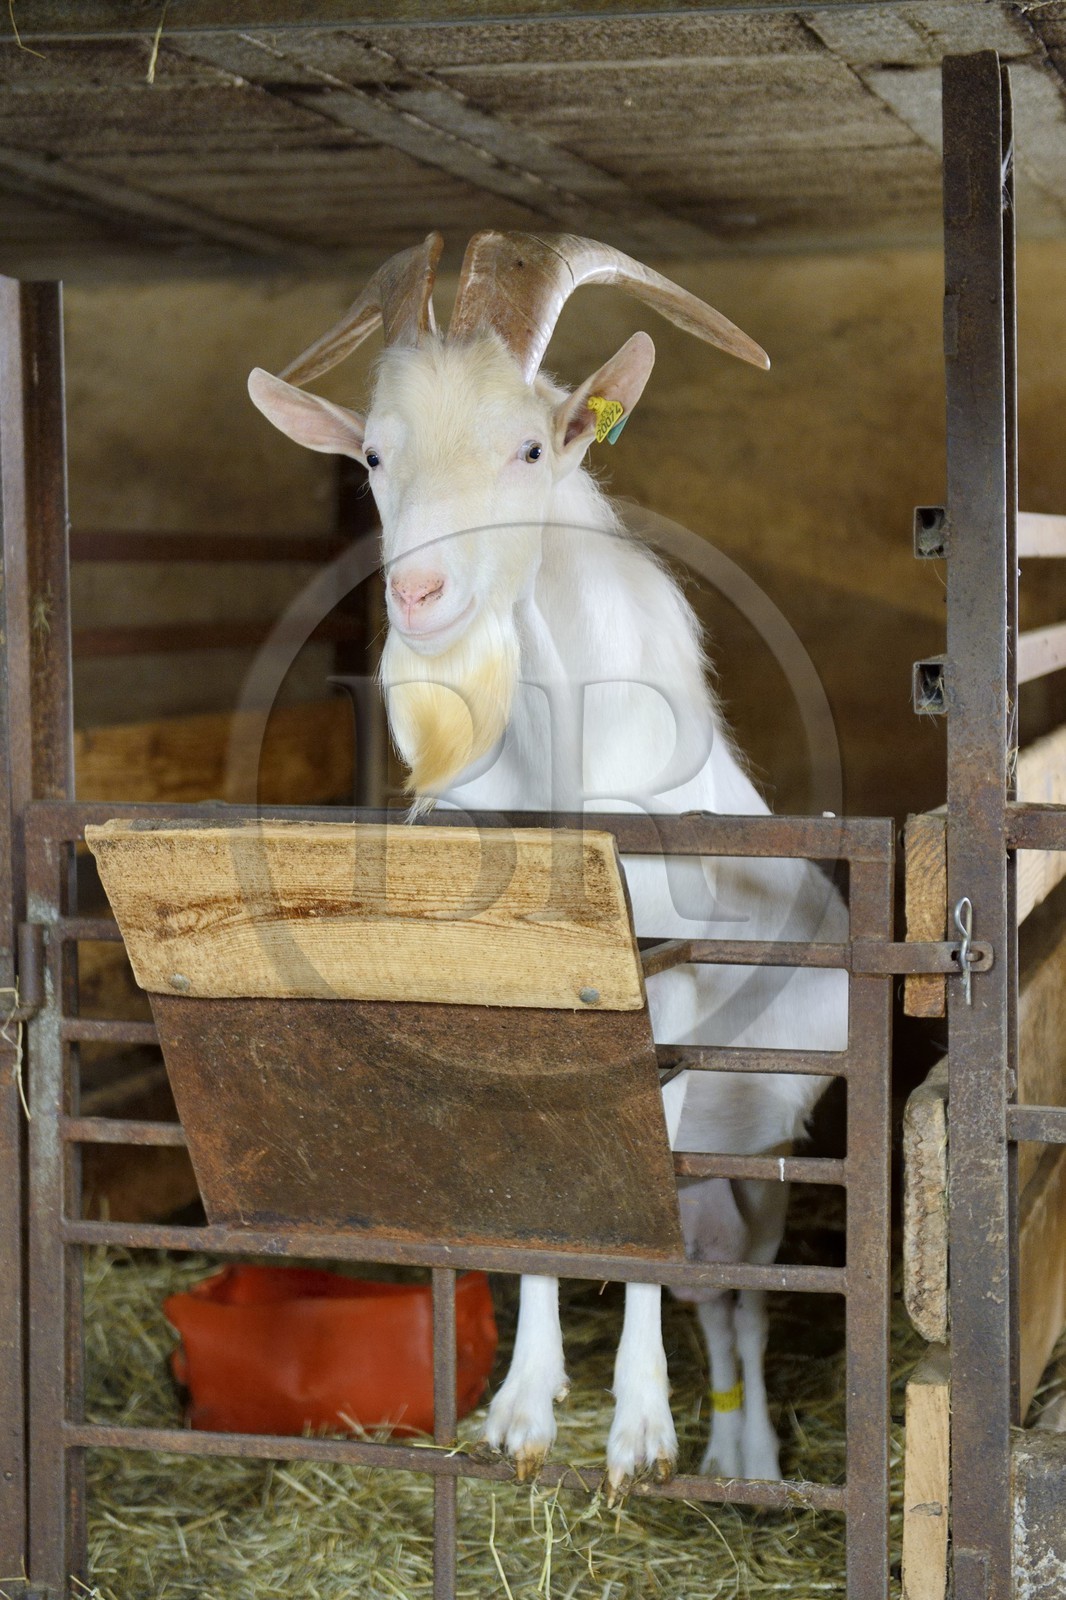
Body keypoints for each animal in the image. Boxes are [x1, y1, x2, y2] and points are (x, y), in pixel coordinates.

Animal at [248, 231, 848, 1495]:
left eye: (528, 446)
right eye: (373, 454)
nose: (419, 596)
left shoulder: (664, 1001)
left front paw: (637, 1431)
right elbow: (536, 1202)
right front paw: (522, 1410)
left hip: (764, 1144)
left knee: (746, 1291)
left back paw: (750, 1456)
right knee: (712, 1286)